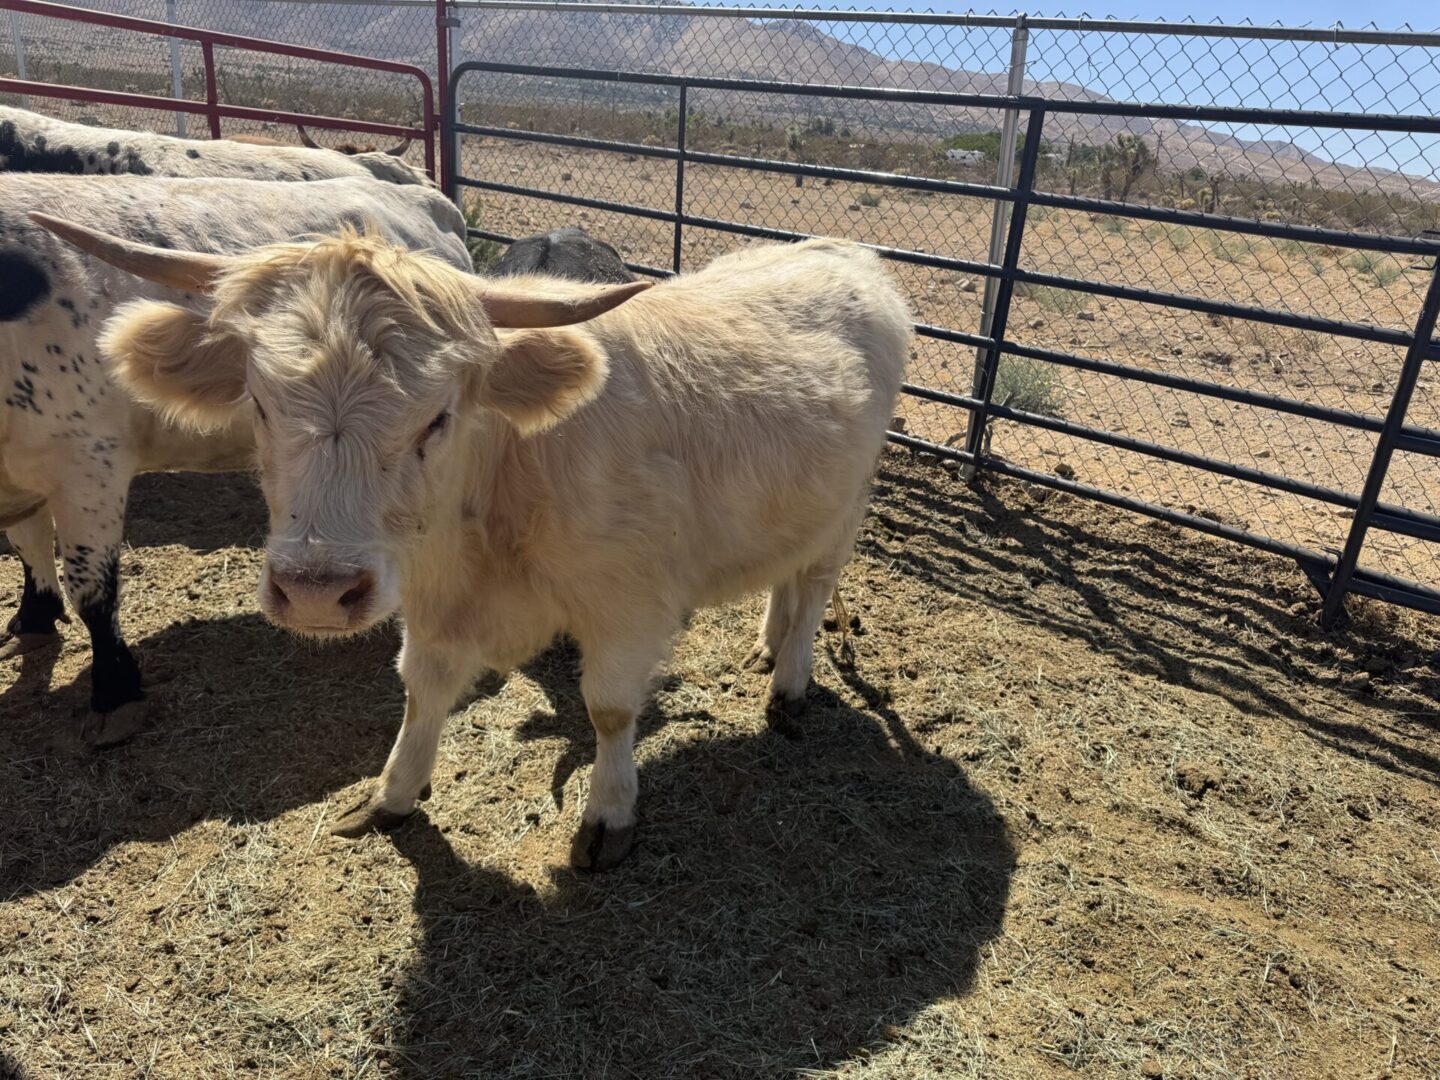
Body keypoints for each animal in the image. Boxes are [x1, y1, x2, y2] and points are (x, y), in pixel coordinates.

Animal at [2, 177, 471, 745]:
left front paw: (115, 693)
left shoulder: (87, 465)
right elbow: (27, 545)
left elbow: (92, 590)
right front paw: (33, 617)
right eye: (258, 404)